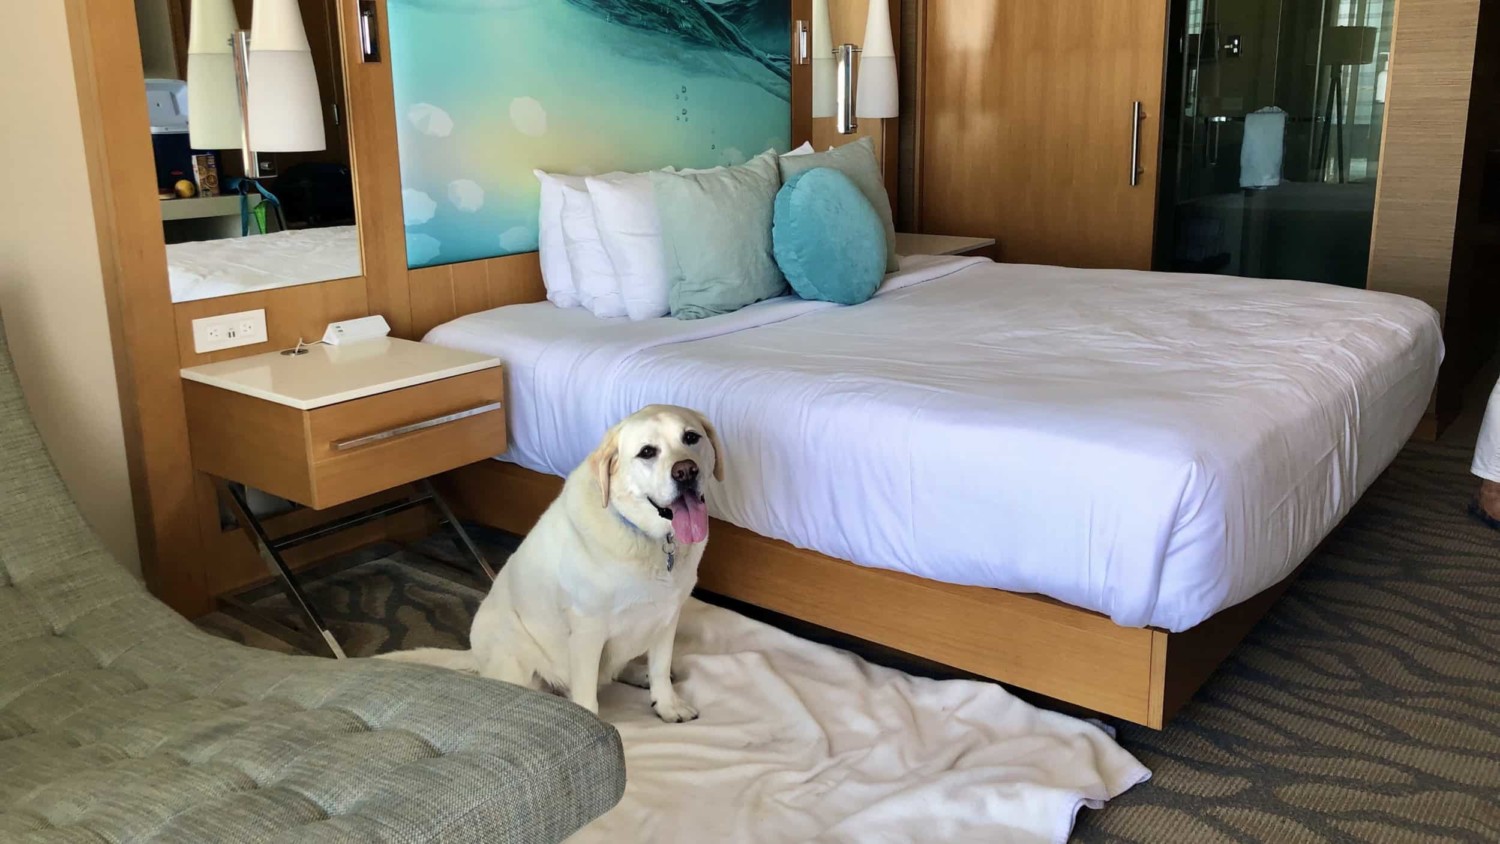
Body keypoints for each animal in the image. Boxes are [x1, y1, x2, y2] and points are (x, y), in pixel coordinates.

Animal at [381, 404, 720, 722]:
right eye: (647, 452)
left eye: (691, 437)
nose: (686, 471)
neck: (654, 541)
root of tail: (474, 656)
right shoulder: (587, 629)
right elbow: (586, 696)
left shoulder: (667, 614)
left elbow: (661, 665)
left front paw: (667, 704)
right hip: (514, 648)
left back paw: (640, 673)